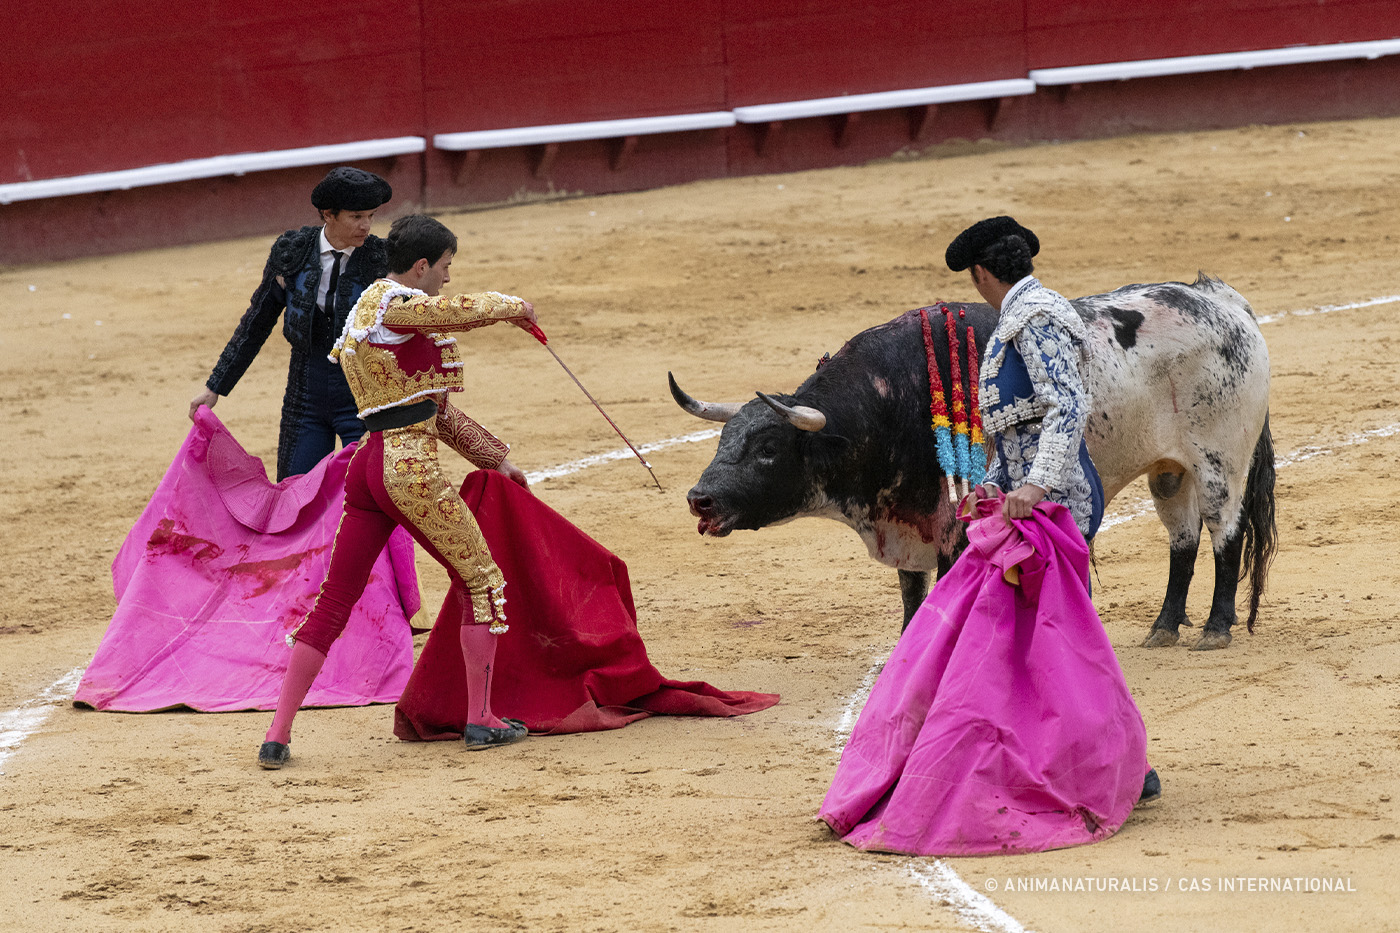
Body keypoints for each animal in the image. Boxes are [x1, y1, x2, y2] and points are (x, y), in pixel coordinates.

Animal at [670, 274, 1276, 650]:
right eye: (724, 439)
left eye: (769, 449)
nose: (700, 499)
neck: (890, 403)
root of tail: (1223, 301)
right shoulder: (910, 520)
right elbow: (912, 595)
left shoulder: (950, 526)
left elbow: (942, 590)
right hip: (1168, 470)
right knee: (1183, 539)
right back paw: (1164, 627)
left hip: (1220, 460)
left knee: (1226, 531)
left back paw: (1215, 628)